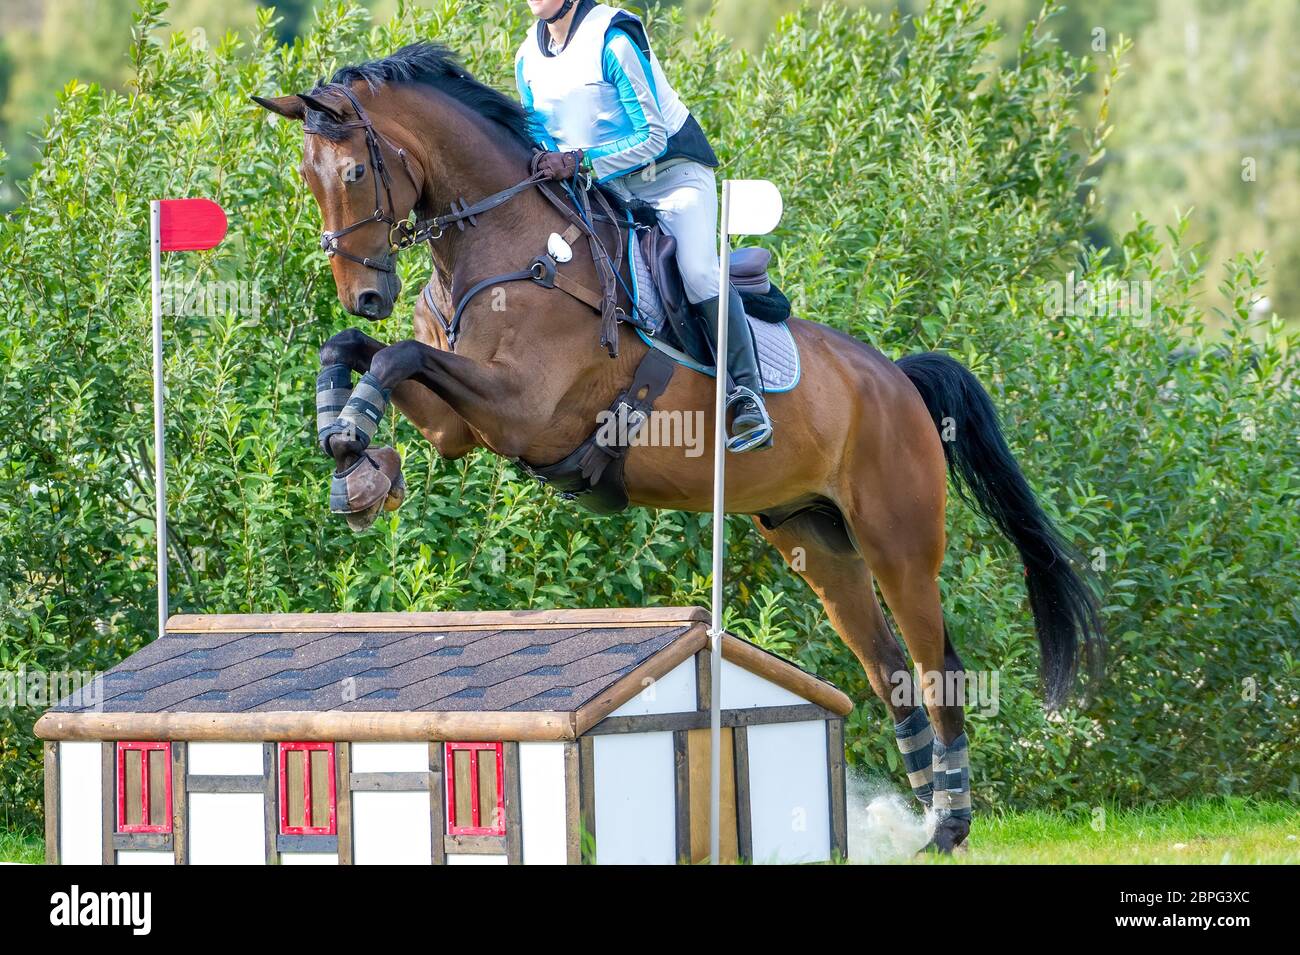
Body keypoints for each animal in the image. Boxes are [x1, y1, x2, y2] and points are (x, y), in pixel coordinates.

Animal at [250, 42, 1097, 852]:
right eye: (308, 179)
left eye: (355, 171)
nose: (365, 292)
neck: (506, 243)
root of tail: (898, 378)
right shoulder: (458, 425)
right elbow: (359, 350)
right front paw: (356, 465)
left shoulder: (525, 410)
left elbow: (394, 355)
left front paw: (356, 451)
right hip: (816, 538)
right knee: (886, 667)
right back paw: (920, 816)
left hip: (898, 537)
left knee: (936, 666)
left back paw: (950, 824)